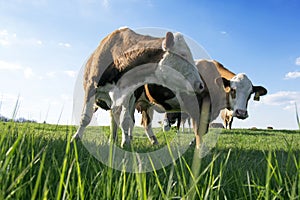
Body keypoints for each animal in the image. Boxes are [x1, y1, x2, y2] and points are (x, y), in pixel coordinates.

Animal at [71, 27, 205, 148]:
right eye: (183, 55)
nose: (201, 85)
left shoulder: (128, 94)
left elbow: (125, 121)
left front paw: (125, 143)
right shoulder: (91, 86)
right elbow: (85, 117)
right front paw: (75, 140)